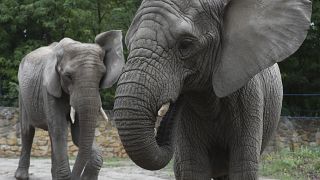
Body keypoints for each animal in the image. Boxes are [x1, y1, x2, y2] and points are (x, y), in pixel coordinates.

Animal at [15, 30, 125, 179]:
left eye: (101, 75)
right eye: (68, 76)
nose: (76, 176)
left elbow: (77, 134)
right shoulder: (48, 88)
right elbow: (60, 129)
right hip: (22, 93)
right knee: (28, 130)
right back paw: (21, 176)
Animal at [112, 0, 310, 180]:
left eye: (185, 45)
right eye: (128, 44)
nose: (174, 100)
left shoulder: (249, 96)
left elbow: (242, 167)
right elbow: (193, 169)